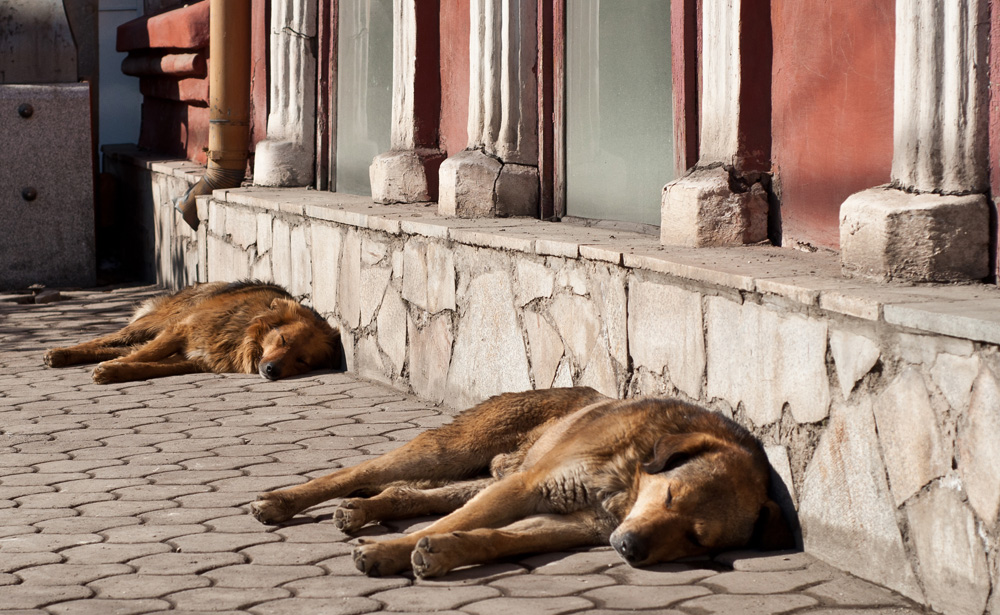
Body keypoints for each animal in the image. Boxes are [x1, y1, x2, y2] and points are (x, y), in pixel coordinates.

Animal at [248, 388, 788, 580]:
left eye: (697, 539)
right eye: (671, 495)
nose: (630, 549)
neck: (630, 482)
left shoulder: (572, 522)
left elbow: (494, 537)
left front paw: (444, 552)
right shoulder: (532, 488)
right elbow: (452, 524)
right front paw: (390, 552)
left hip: (495, 475)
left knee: (411, 493)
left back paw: (362, 510)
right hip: (456, 450)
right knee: (360, 472)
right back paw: (282, 500)